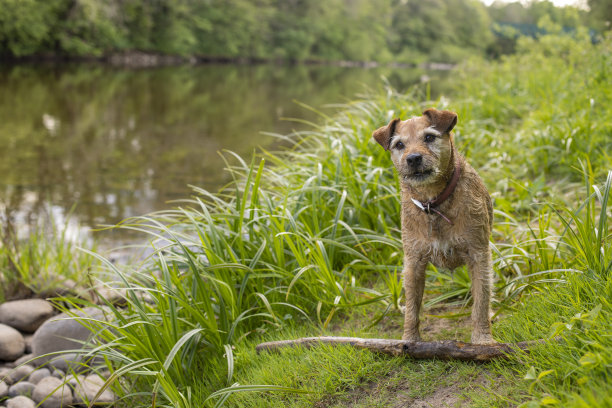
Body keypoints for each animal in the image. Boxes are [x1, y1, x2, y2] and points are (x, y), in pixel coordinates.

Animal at [372, 107, 498, 344]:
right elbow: (412, 308)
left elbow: (481, 301)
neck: (433, 203)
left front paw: (482, 340)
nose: (413, 158)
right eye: (399, 144)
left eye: (429, 137)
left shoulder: (478, 255)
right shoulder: (413, 263)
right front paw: (409, 341)